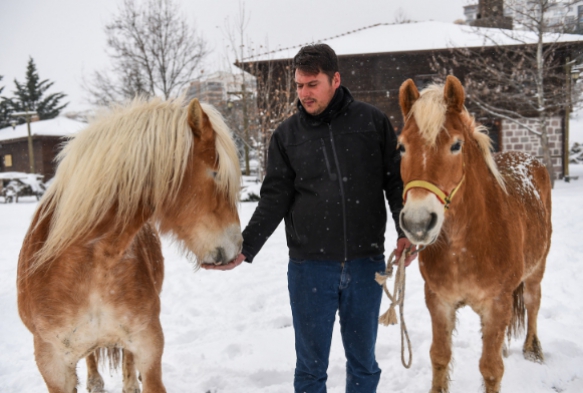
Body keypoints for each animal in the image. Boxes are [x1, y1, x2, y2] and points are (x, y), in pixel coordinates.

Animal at [17, 97, 242, 392]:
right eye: (215, 173)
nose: (236, 246)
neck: (91, 265)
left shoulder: (149, 346)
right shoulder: (52, 365)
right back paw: (95, 381)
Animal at [396, 75, 552, 390]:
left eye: (456, 145)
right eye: (402, 147)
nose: (418, 222)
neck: (463, 246)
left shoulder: (497, 304)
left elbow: (491, 369)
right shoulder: (438, 301)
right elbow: (439, 357)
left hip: (536, 269)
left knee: (533, 302)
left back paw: (532, 350)